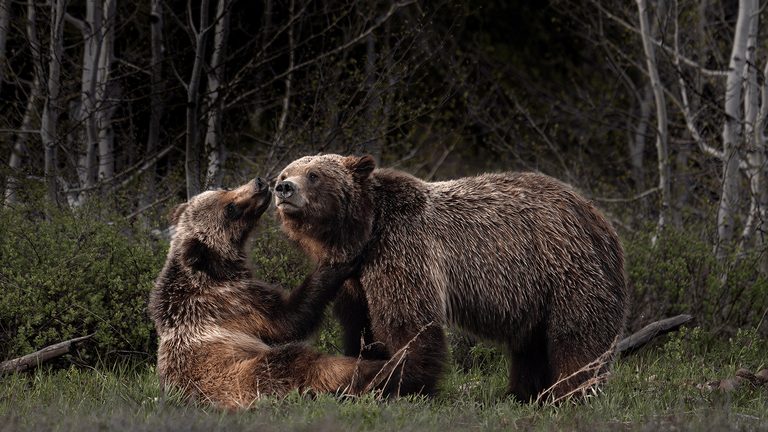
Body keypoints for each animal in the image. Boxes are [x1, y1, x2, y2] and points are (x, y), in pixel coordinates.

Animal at [148, 177, 390, 410]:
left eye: (224, 189)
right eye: (230, 209)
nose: (258, 184)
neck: (217, 270)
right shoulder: (235, 301)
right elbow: (287, 321)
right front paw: (339, 261)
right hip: (244, 377)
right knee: (301, 362)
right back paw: (379, 370)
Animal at [273, 154, 628, 402]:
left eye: (314, 174)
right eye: (285, 172)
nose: (283, 188)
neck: (366, 231)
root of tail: (600, 219)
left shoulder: (402, 249)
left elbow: (409, 325)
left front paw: (395, 385)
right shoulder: (355, 278)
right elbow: (361, 327)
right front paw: (366, 371)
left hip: (566, 268)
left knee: (576, 337)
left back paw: (568, 393)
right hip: (538, 293)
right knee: (531, 346)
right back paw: (522, 394)